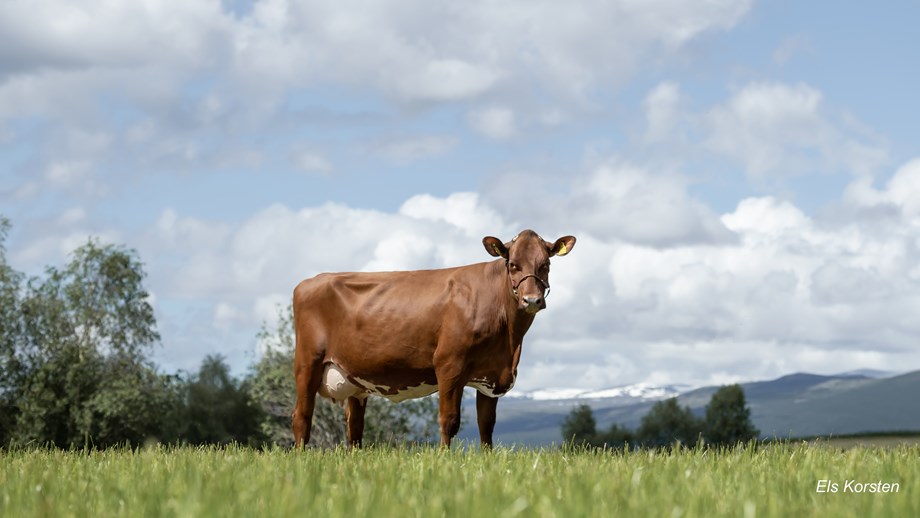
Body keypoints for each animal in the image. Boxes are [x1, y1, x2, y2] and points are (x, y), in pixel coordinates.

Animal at [292, 230, 576, 448]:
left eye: (546, 264)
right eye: (513, 264)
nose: (532, 300)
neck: (509, 343)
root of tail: (310, 281)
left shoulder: (492, 376)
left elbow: (486, 426)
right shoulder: (449, 365)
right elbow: (449, 421)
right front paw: (444, 459)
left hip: (355, 381)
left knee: (354, 427)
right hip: (307, 364)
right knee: (301, 417)